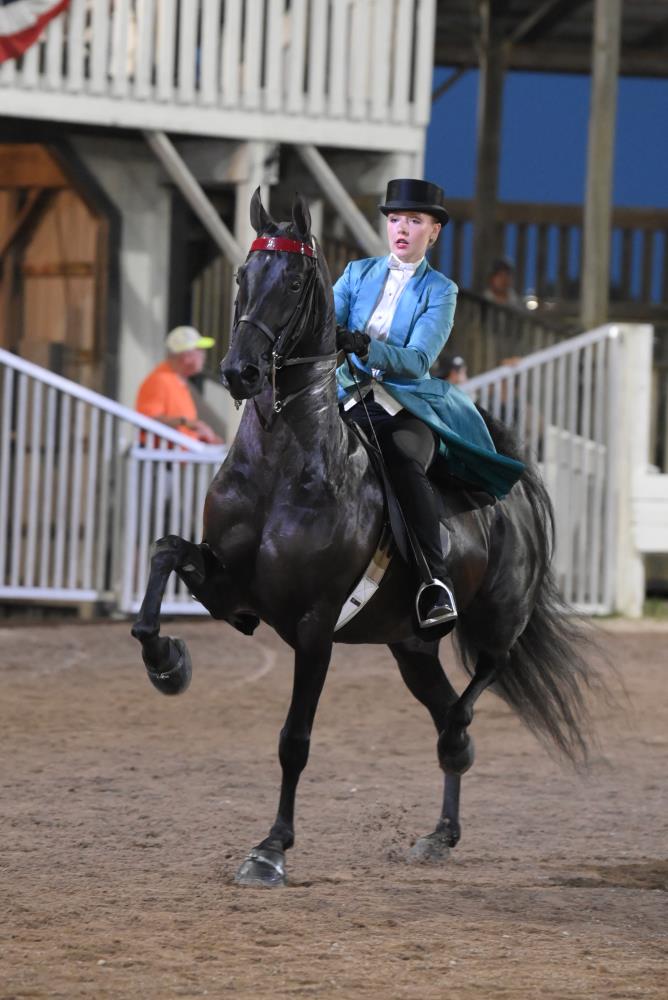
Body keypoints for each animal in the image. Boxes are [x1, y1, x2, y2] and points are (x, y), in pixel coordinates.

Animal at [130, 191, 596, 888]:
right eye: (243, 275)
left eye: (296, 282)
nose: (240, 372)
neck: (282, 464)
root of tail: (515, 491)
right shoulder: (234, 595)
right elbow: (164, 552)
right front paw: (167, 664)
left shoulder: (315, 626)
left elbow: (294, 740)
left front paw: (270, 850)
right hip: (410, 647)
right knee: (444, 708)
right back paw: (441, 832)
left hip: (494, 619)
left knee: (478, 686)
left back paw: (456, 744)